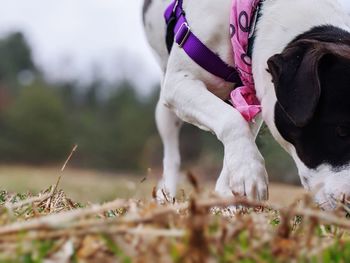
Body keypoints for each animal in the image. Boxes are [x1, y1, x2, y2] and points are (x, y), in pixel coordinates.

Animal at [142, 0, 350, 210]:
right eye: (341, 131)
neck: (252, 18)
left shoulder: (255, 98)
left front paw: (227, 199)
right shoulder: (179, 82)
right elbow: (231, 120)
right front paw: (250, 172)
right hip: (166, 108)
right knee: (171, 152)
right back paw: (166, 194)